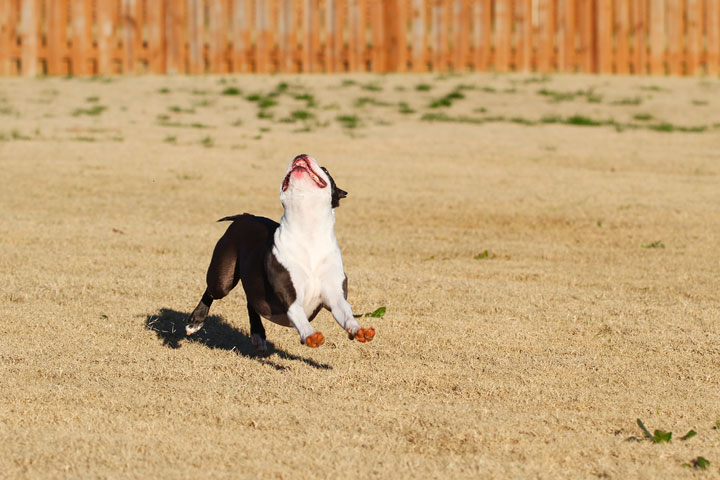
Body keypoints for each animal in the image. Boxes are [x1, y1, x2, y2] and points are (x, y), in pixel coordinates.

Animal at [184, 154, 376, 352]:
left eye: (325, 169)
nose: (301, 155)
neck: (308, 231)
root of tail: (245, 216)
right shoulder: (288, 294)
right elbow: (298, 313)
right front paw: (310, 334)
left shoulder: (335, 296)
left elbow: (346, 314)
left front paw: (359, 330)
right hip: (223, 279)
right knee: (212, 291)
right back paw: (195, 321)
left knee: (251, 301)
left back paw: (258, 335)